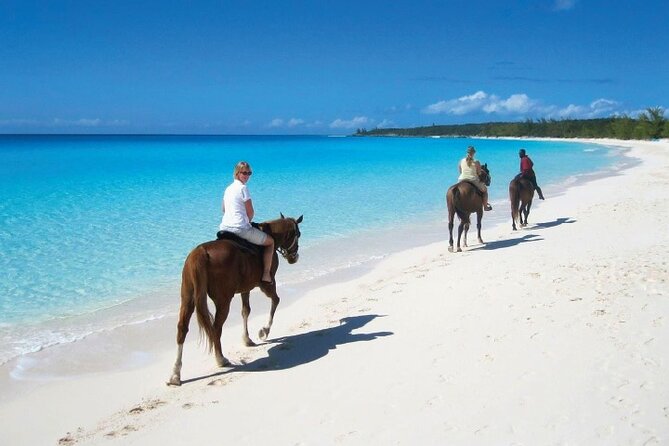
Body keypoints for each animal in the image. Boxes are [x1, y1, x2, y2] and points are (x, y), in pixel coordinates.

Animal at [167, 214, 302, 386]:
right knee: (216, 328)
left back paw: (176, 373)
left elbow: (246, 311)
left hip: (187, 298)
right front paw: (264, 331)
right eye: (298, 234)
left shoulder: (245, 288)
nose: (294, 257)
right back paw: (220, 359)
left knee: (182, 328)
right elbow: (276, 301)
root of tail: (201, 252)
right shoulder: (267, 284)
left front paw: (247, 339)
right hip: (223, 300)